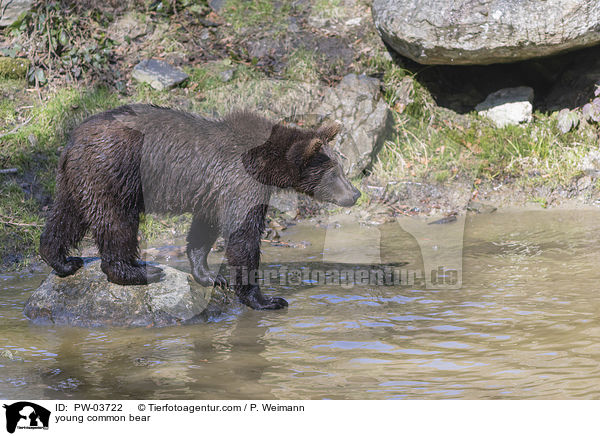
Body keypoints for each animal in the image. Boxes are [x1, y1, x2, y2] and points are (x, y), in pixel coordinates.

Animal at [42, 104, 364, 310]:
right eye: (335, 173)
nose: (355, 194)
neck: (264, 164)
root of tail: (73, 139)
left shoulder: (214, 191)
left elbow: (204, 228)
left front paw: (210, 275)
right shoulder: (240, 182)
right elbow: (243, 236)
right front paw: (266, 299)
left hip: (77, 176)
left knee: (66, 215)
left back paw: (62, 259)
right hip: (115, 171)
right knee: (116, 220)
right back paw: (136, 271)